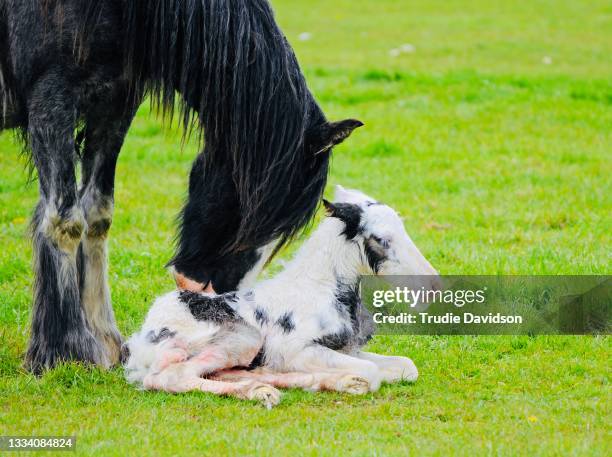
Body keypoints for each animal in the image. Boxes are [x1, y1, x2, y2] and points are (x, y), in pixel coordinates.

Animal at [0, 0, 360, 372]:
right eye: (257, 207)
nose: (221, 295)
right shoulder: (50, 99)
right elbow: (64, 221)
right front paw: (67, 352)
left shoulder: (115, 104)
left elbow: (96, 215)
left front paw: (106, 341)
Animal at [123, 187, 440, 408]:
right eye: (382, 240)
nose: (433, 285)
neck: (322, 289)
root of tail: (141, 341)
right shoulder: (299, 349)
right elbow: (373, 373)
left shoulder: (346, 349)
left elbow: (406, 367)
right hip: (243, 337)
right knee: (170, 377)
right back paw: (264, 392)